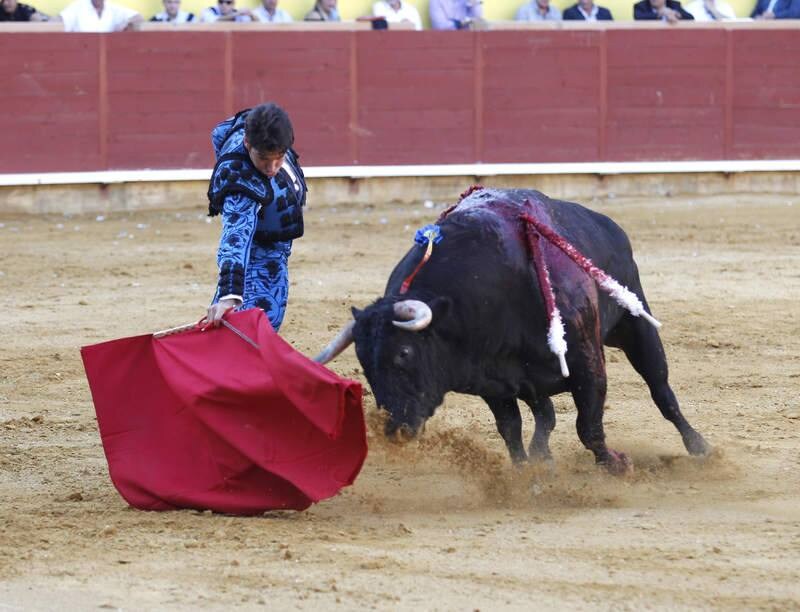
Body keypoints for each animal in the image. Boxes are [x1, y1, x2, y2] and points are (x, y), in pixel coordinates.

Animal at [316, 186, 708, 474]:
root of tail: (608, 225)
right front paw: (525, 472)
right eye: (364, 365)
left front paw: (616, 464)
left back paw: (700, 447)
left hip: (635, 326)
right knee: (545, 413)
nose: (394, 431)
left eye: (404, 352)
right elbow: (511, 429)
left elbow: (588, 427)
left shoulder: (587, 362)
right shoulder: (491, 378)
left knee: (661, 391)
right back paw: (543, 456)